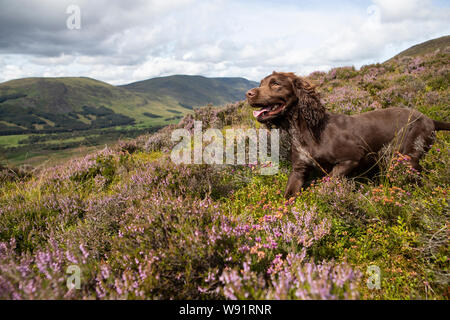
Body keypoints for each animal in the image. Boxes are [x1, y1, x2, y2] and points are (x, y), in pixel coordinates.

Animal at [246, 71, 450, 199]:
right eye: (261, 83)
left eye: (275, 84)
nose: (248, 94)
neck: (306, 131)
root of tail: (430, 120)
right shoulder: (299, 169)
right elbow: (287, 198)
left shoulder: (351, 159)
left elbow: (327, 182)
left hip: (404, 157)